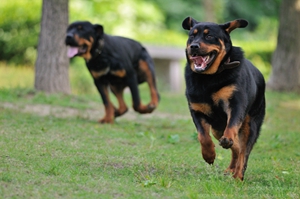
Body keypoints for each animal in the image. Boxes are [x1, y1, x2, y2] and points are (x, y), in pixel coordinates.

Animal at [182, 17, 266, 180]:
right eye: (191, 36)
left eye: (209, 36)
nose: (193, 46)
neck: (209, 78)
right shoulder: (196, 110)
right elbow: (202, 136)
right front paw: (209, 155)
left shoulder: (236, 104)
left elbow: (232, 126)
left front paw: (226, 141)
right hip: (217, 129)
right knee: (236, 148)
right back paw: (231, 169)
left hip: (250, 125)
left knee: (243, 152)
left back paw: (238, 175)